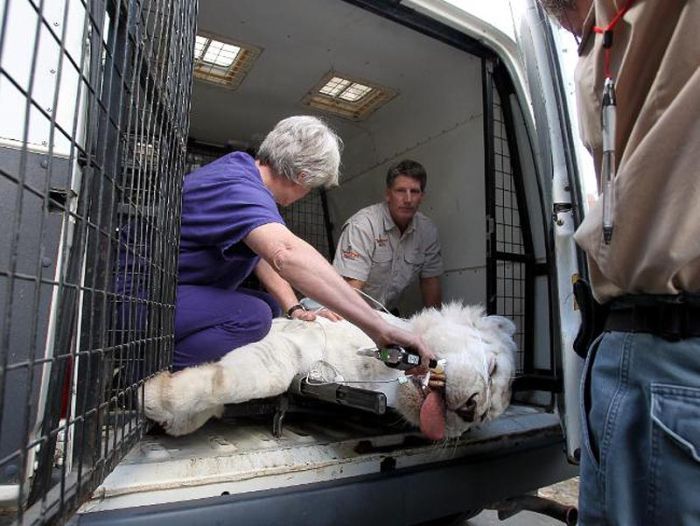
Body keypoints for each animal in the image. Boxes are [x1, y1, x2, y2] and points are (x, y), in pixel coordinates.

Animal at [144, 304, 516, 440]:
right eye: (493, 367)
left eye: (484, 419)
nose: (472, 410)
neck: (373, 374)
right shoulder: (294, 339)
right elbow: (253, 377)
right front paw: (155, 397)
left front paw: (178, 419)